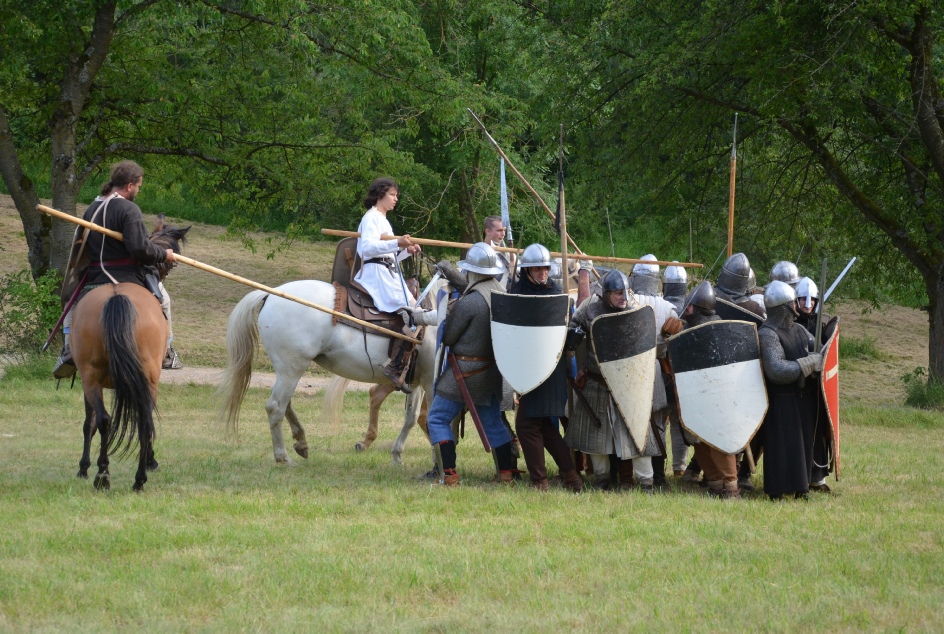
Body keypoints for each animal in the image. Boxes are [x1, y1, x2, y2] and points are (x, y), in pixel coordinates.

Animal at [72, 216, 189, 491]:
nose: (163, 271)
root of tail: (117, 297)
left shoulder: (87, 379)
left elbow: (89, 421)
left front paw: (84, 466)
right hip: (145, 377)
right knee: (140, 420)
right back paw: (137, 479)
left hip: (92, 376)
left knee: (105, 420)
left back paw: (103, 474)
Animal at [218, 277, 449, 465]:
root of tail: (272, 293)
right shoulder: (428, 383)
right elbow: (427, 416)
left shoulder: (417, 383)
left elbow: (412, 417)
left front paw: (398, 454)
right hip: (292, 368)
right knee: (275, 407)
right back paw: (283, 456)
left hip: (288, 370)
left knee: (285, 403)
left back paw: (301, 443)